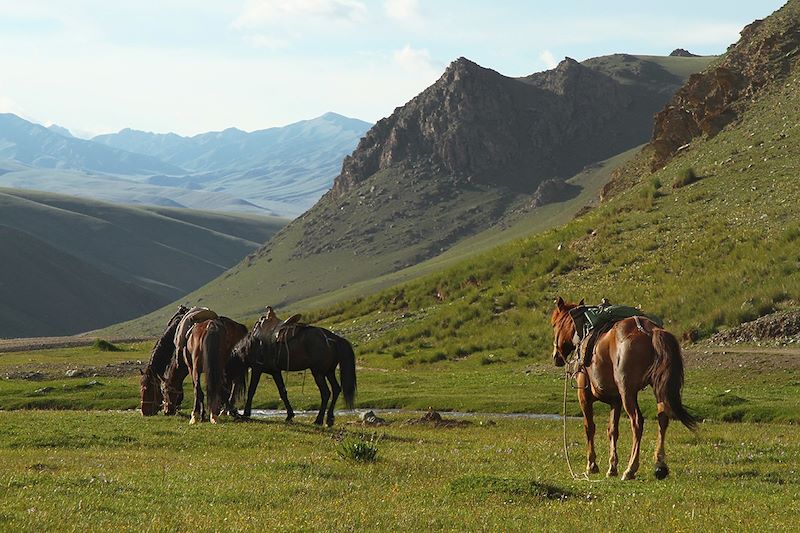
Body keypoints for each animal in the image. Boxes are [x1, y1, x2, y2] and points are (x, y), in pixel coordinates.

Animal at [230, 322, 358, 426]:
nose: (231, 410)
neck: (250, 346)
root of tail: (333, 338)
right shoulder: (275, 372)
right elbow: (283, 392)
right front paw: (289, 415)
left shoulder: (257, 369)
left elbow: (251, 391)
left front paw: (246, 413)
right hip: (329, 372)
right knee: (336, 389)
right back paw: (329, 420)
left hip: (318, 373)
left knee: (326, 393)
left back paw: (318, 420)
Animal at [552, 298, 692, 480]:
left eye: (554, 324)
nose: (555, 356)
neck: (583, 329)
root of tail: (651, 330)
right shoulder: (615, 400)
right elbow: (613, 430)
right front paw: (612, 467)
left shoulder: (584, 395)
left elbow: (589, 427)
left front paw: (592, 465)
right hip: (657, 388)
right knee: (663, 419)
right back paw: (660, 466)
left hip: (628, 391)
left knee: (637, 422)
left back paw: (630, 468)